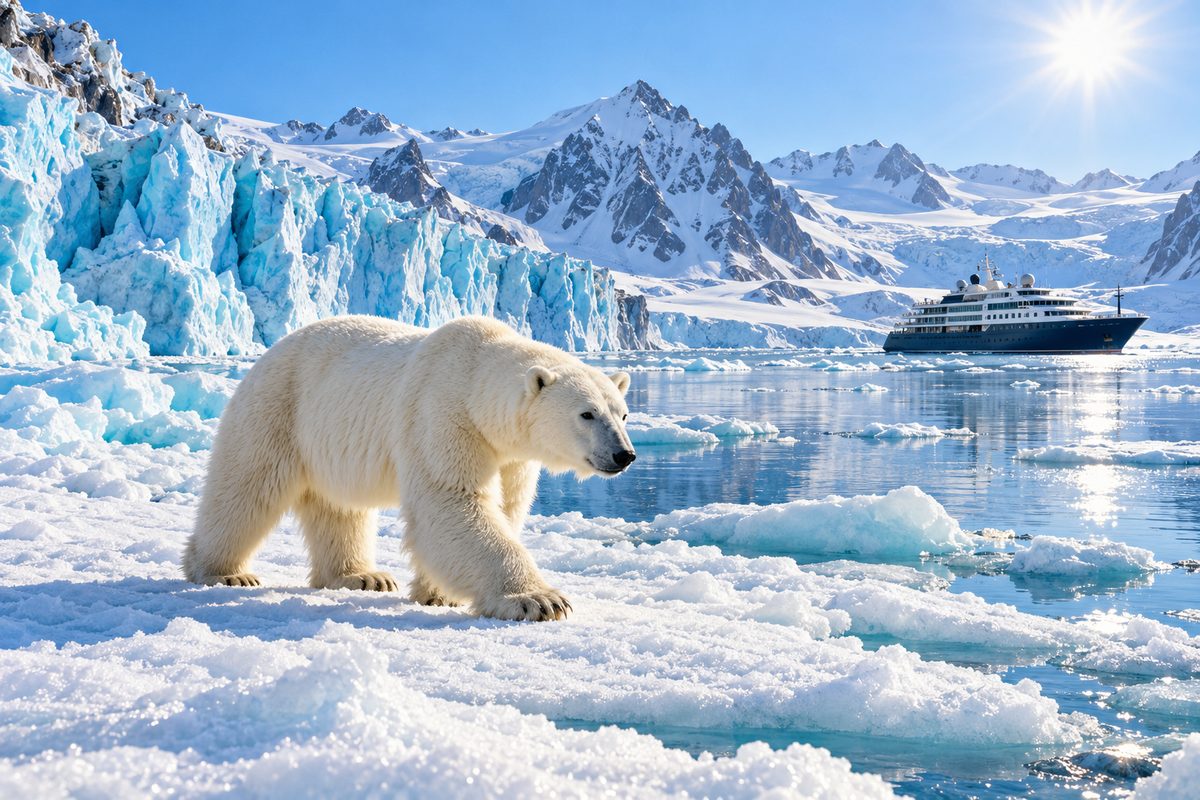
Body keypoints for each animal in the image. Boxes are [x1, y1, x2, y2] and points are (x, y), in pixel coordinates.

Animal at [182, 315, 636, 621]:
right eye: (587, 414)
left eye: (623, 413)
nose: (624, 455)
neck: (476, 378)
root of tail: (269, 352)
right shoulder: (443, 414)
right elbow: (453, 501)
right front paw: (539, 599)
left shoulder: (509, 454)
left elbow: (504, 507)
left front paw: (439, 594)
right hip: (279, 408)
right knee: (245, 486)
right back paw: (223, 573)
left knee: (338, 508)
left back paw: (361, 576)